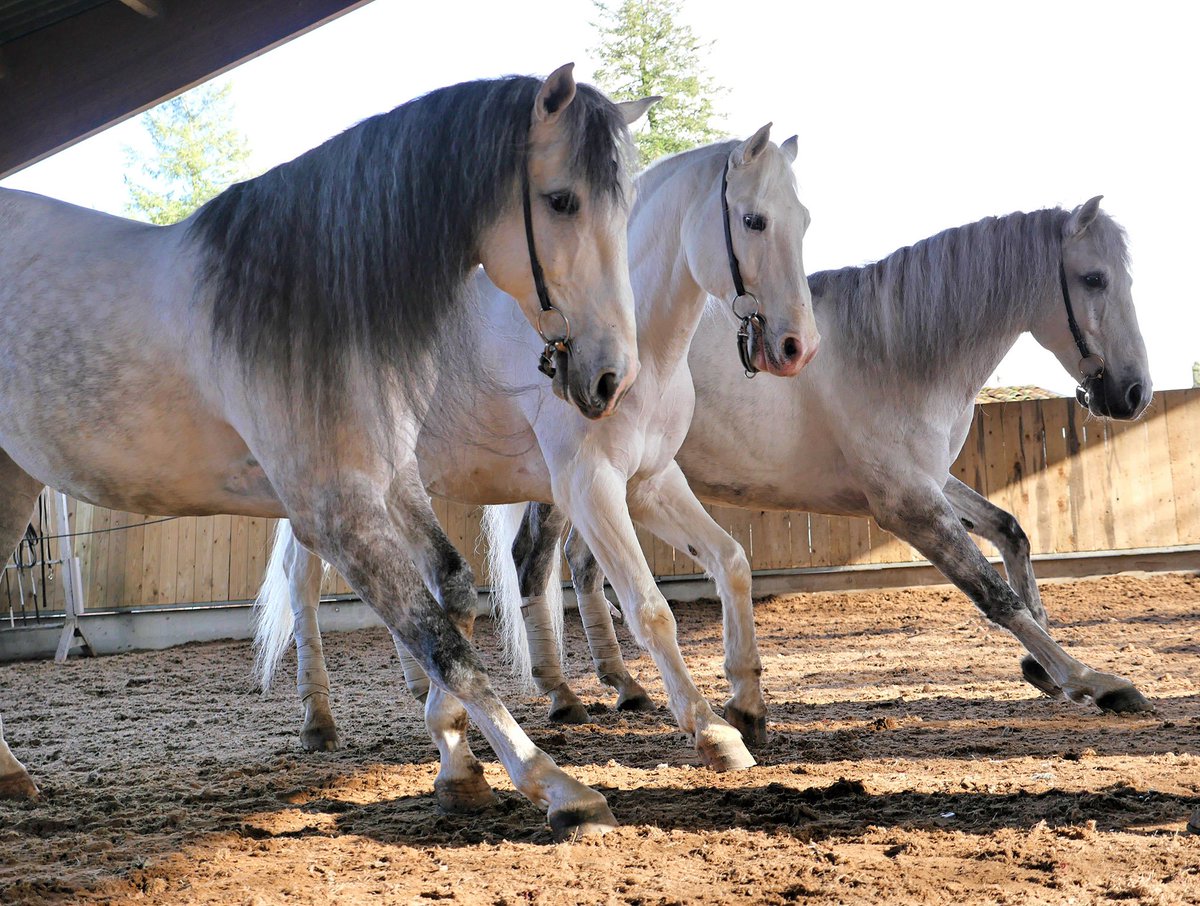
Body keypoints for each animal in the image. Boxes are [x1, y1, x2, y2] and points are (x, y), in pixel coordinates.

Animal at [0, 65, 652, 844]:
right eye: (561, 200)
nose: (611, 378)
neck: (319, 304)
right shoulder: (336, 511)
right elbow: (444, 645)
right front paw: (556, 786)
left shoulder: (390, 479)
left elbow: (454, 595)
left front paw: (456, 766)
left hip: (12, 478)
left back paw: (11, 775)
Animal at [252, 124, 816, 782]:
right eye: (753, 220)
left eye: (803, 219)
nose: (798, 346)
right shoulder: (590, 487)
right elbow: (649, 609)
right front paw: (712, 731)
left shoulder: (651, 483)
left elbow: (731, 563)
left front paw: (747, 704)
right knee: (303, 581)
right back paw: (318, 720)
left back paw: (424, 690)